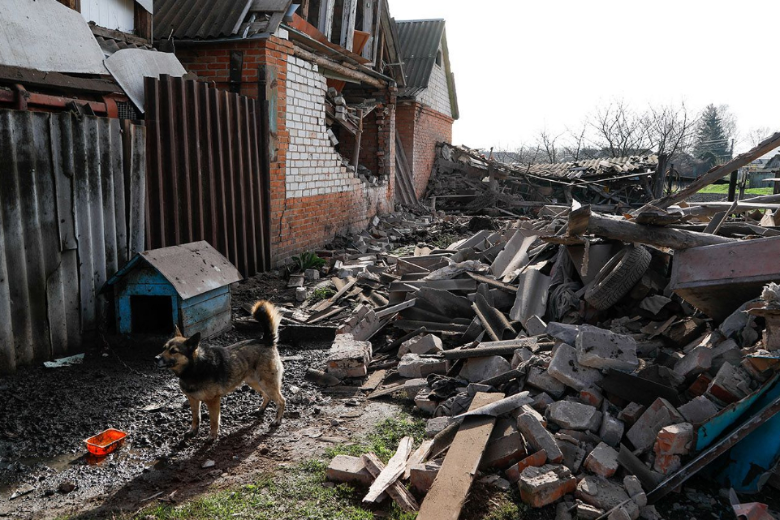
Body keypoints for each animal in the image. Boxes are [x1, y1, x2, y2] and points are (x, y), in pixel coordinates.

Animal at [154, 300, 284, 438]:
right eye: (164, 348)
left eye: (173, 351)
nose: (156, 358)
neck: (195, 368)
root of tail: (266, 340)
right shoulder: (193, 399)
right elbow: (196, 418)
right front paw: (193, 431)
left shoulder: (213, 401)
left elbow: (214, 420)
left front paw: (213, 436)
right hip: (254, 382)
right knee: (267, 396)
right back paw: (261, 410)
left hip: (267, 383)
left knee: (281, 400)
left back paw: (277, 420)